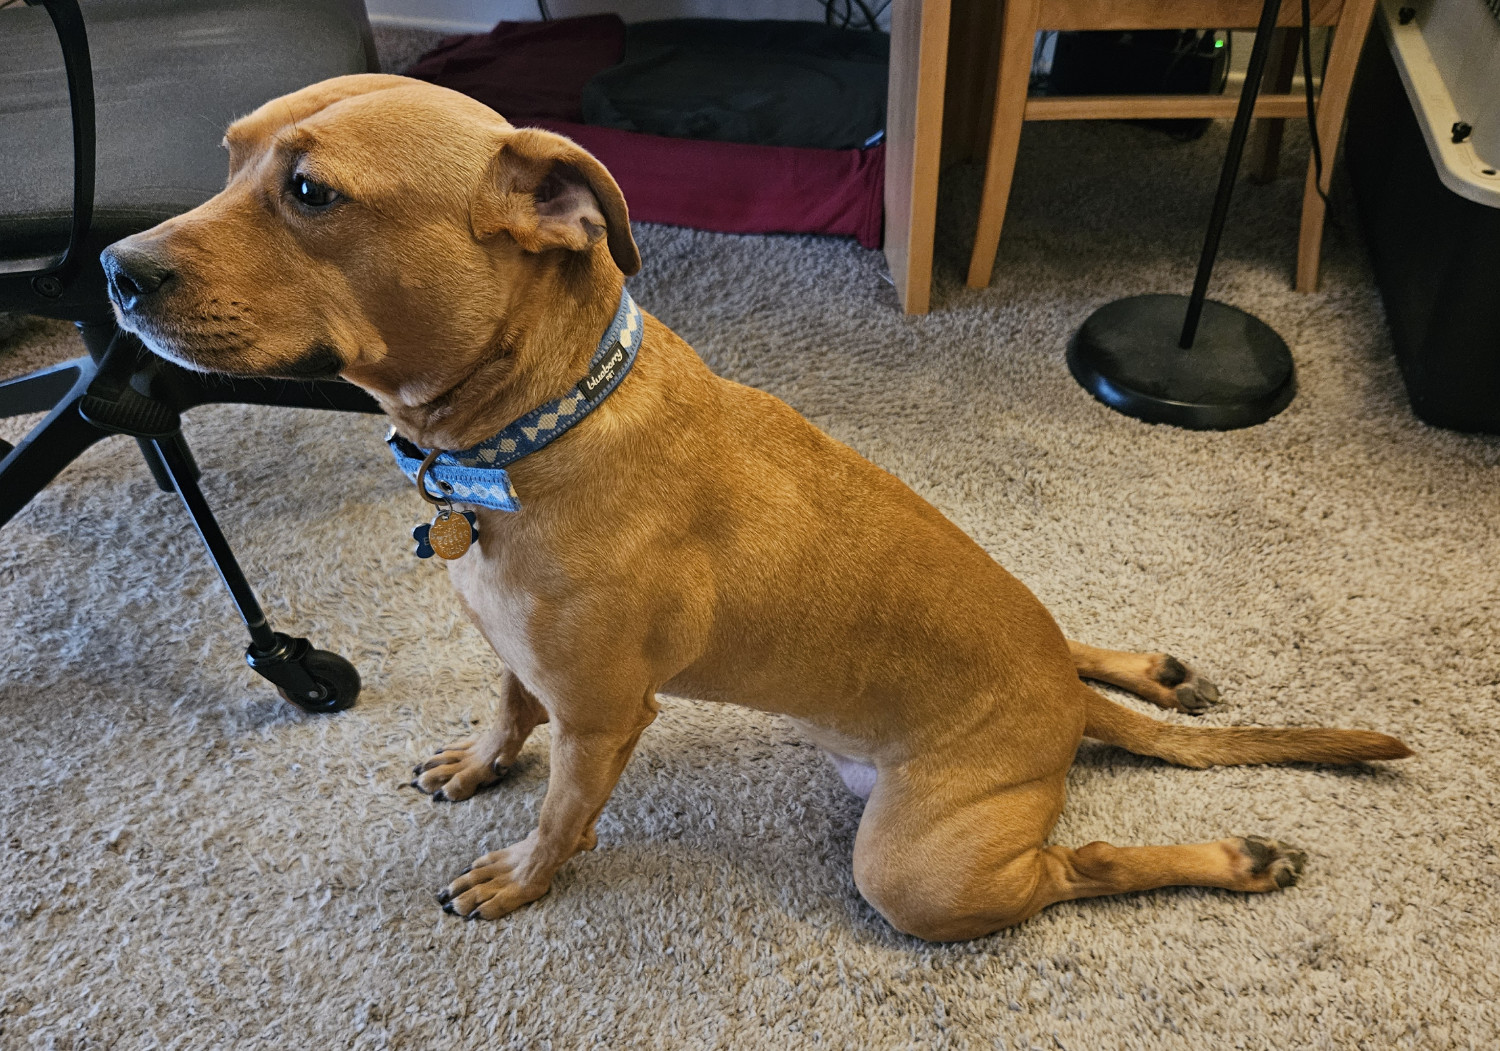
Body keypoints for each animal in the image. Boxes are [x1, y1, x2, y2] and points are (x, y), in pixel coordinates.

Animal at [99, 75, 1410, 941]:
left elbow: (562, 811)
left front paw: (522, 875)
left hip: (919, 872)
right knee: (1080, 657)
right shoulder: (521, 659)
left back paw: (1237, 856)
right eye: (227, 157)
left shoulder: (602, 718)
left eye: (310, 192)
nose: (113, 269)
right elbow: (504, 715)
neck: (534, 424)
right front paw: (478, 764)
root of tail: (1057, 701)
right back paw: (1148, 671)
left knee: (1077, 863)